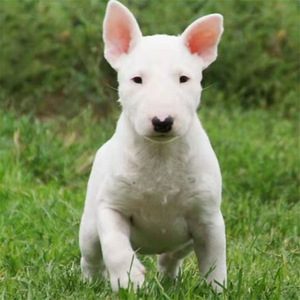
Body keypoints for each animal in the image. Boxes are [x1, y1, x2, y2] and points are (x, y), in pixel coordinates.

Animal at [78, 0, 226, 292]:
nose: (162, 121)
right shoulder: (110, 206)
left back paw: (168, 277)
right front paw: (129, 281)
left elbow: (215, 261)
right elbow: (115, 247)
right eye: (137, 79)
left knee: (171, 256)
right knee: (90, 257)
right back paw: (90, 282)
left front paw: (218, 290)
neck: (161, 155)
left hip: (184, 238)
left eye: (184, 79)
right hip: (89, 227)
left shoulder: (209, 218)